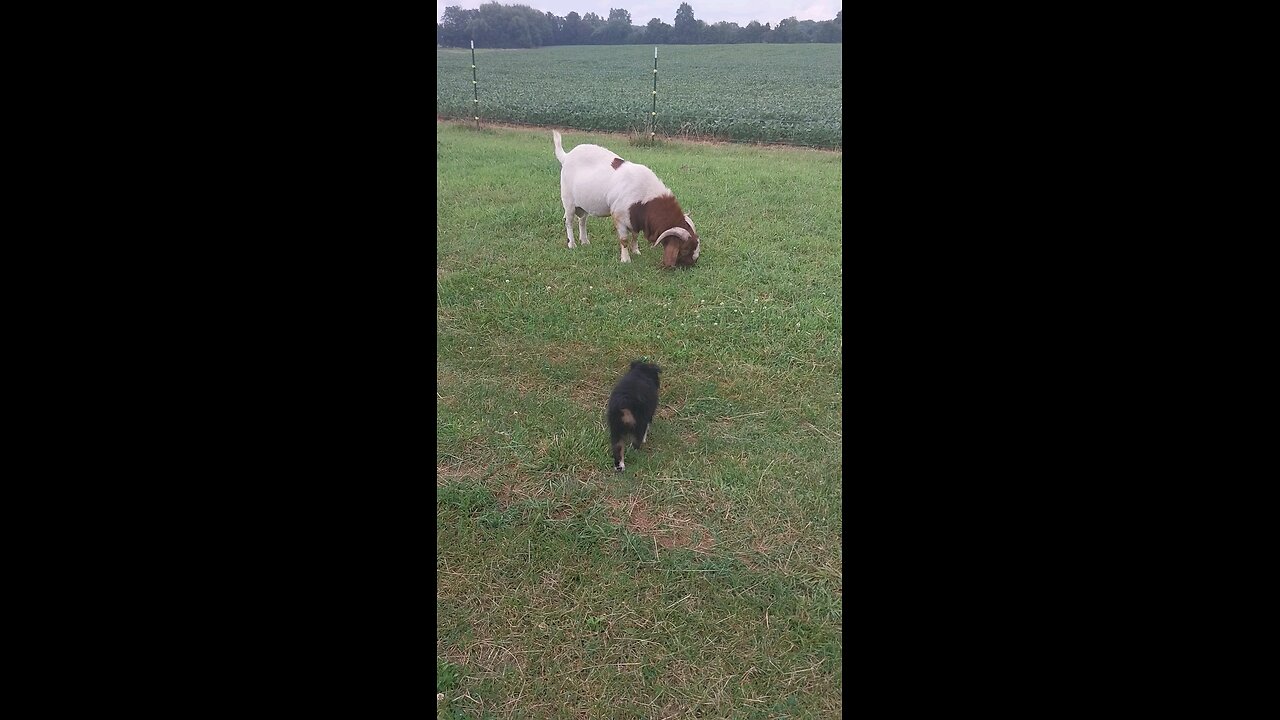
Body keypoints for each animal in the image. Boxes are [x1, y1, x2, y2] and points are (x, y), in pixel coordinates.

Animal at [552, 129, 701, 266]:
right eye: (685, 248)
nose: (693, 262)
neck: (645, 195)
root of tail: (566, 156)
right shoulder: (619, 215)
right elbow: (624, 240)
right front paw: (625, 259)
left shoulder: (635, 219)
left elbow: (635, 235)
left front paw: (636, 251)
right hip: (568, 201)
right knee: (568, 221)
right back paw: (572, 244)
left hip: (583, 205)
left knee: (582, 221)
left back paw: (585, 241)